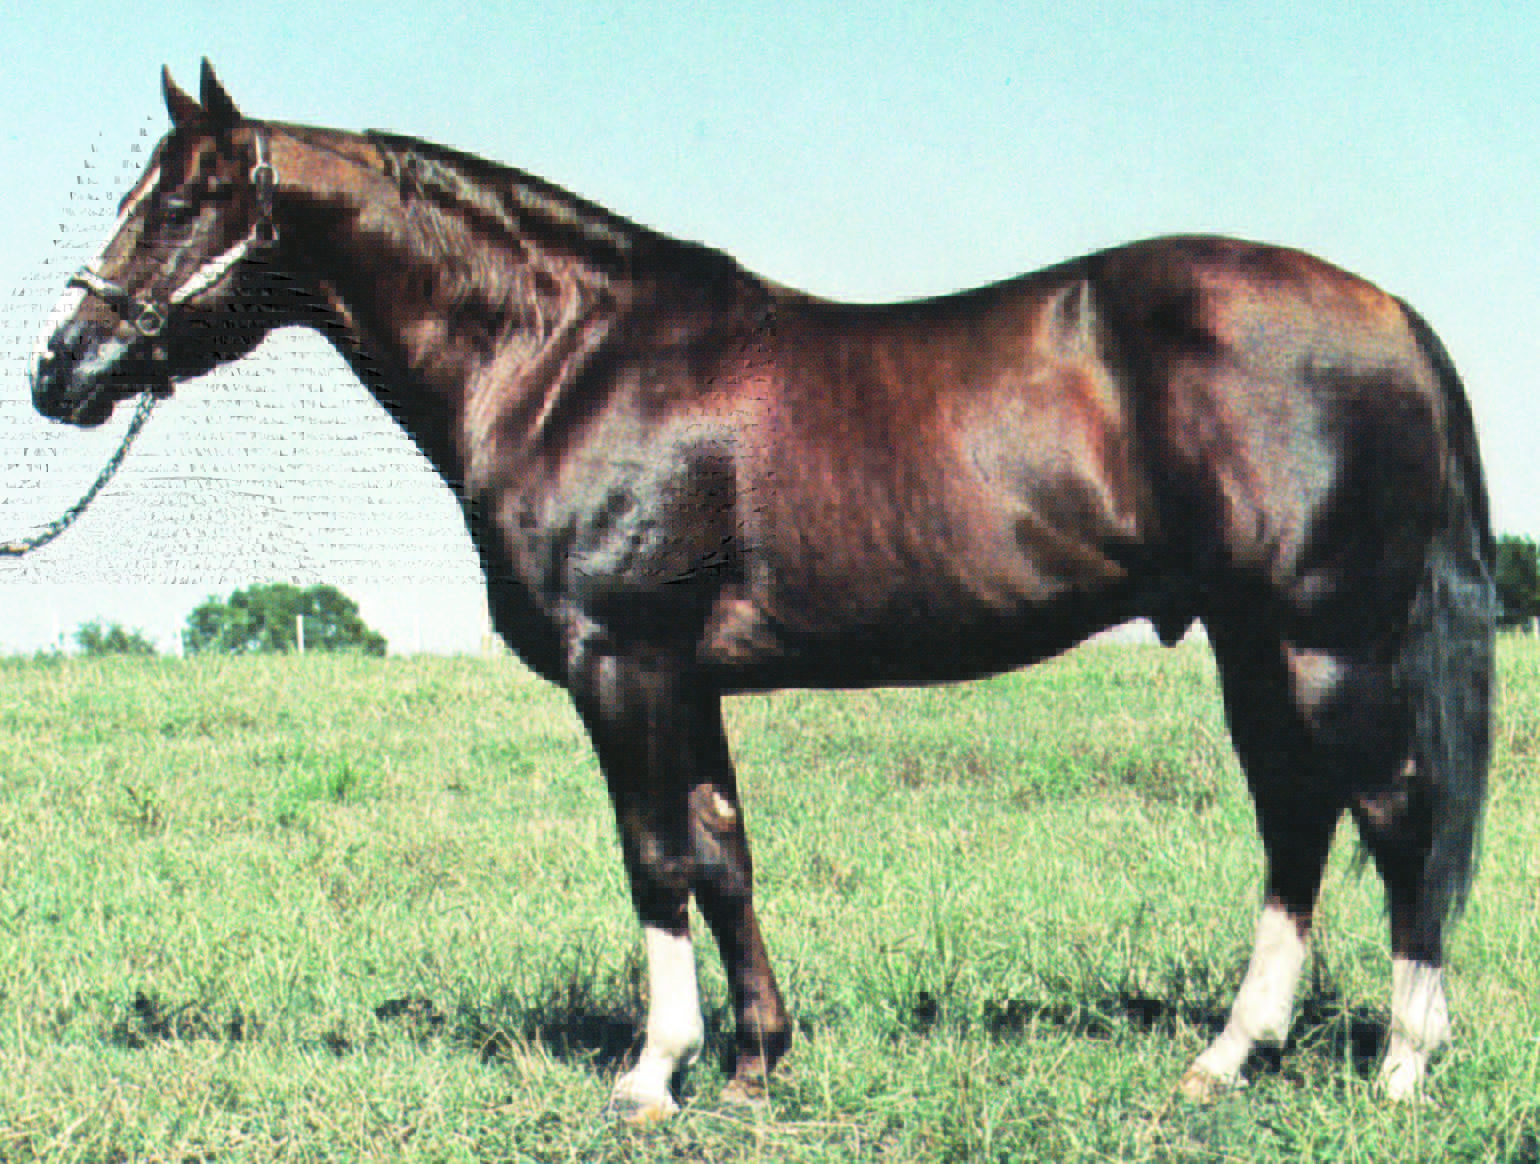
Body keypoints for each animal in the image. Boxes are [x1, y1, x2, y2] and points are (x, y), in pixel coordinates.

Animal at [31, 62, 1495, 1116]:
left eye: (182, 202)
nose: (63, 365)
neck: (573, 358)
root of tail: (1389, 313)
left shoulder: (621, 661)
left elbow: (654, 856)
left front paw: (652, 1074)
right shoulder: (688, 677)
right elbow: (724, 852)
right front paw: (753, 1061)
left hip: (1321, 641)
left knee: (1394, 819)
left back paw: (1401, 1067)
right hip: (1256, 646)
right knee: (1299, 823)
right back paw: (1227, 1059)